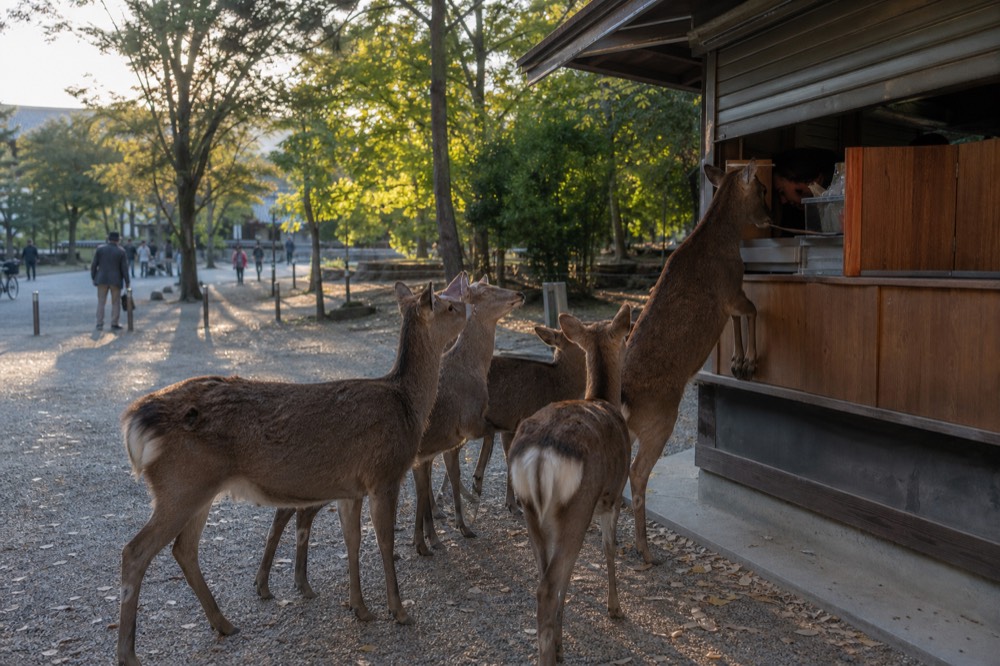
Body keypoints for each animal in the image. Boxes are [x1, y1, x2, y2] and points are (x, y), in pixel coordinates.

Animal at [116, 282, 467, 666]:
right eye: (448, 306)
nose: (467, 307)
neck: (409, 408)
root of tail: (136, 422)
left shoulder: (350, 489)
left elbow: (353, 541)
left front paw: (360, 608)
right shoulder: (384, 475)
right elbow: (384, 541)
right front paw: (399, 611)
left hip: (196, 490)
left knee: (184, 549)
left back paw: (223, 623)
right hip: (181, 486)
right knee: (135, 551)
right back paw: (128, 653)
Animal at [509, 304, 632, 666]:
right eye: (627, 335)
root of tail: (538, 455)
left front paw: (563, 642)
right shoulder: (613, 496)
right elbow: (609, 548)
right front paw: (615, 608)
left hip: (532, 512)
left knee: (543, 578)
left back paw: (555, 648)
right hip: (577, 506)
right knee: (549, 586)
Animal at [622, 160, 771, 565]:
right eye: (763, 189)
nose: (770, 218)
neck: (724, 240)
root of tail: (623, 400)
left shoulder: (730, 300)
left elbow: (738, 320)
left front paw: (737, 361)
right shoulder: (732, 290)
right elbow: (753, 310)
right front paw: (748, 363)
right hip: (661, 418)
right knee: (637, 472)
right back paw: (646, 551)